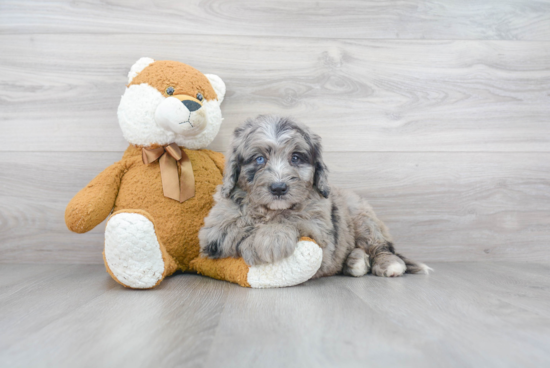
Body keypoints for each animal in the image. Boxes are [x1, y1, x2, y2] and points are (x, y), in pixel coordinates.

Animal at [201, 116, 434, 278]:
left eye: (295, 158)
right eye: (259, 159)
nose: (279, 188)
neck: (271, 209)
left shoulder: (321, 229)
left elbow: (291, 217)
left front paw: (270, 238)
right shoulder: (214, 228)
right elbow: (237, 224)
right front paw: (260, 237)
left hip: (364, 218)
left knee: (381, 247)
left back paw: (387, 264)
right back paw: (356, 263)